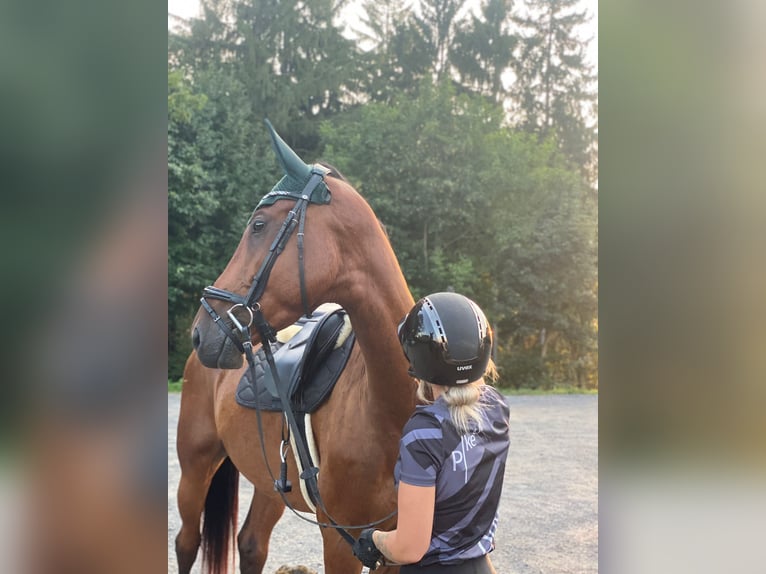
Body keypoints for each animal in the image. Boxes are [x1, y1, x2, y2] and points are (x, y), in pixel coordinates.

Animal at [176, 128, 416, 572]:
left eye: (258, 225)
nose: (201, 332)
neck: (389, 409)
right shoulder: (339, 542)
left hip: (270, 482)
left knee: (251, 544)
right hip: (194, 468)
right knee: (187, 542)